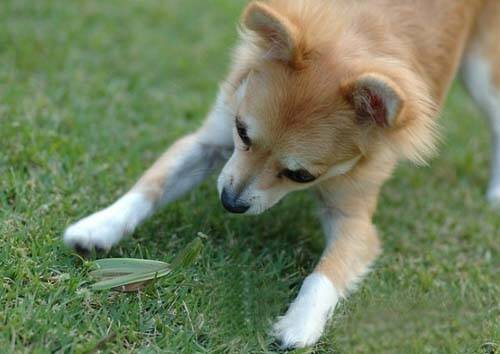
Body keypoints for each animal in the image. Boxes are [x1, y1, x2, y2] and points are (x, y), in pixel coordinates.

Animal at [63, 0, 500, 348]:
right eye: (241, 131)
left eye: (301, 175)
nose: (230, 202)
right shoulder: (209, 143)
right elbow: (152, 185)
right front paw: (100, 225)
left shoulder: (355, 222)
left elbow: (326, 274)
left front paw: (299, 324)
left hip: (481, 73)